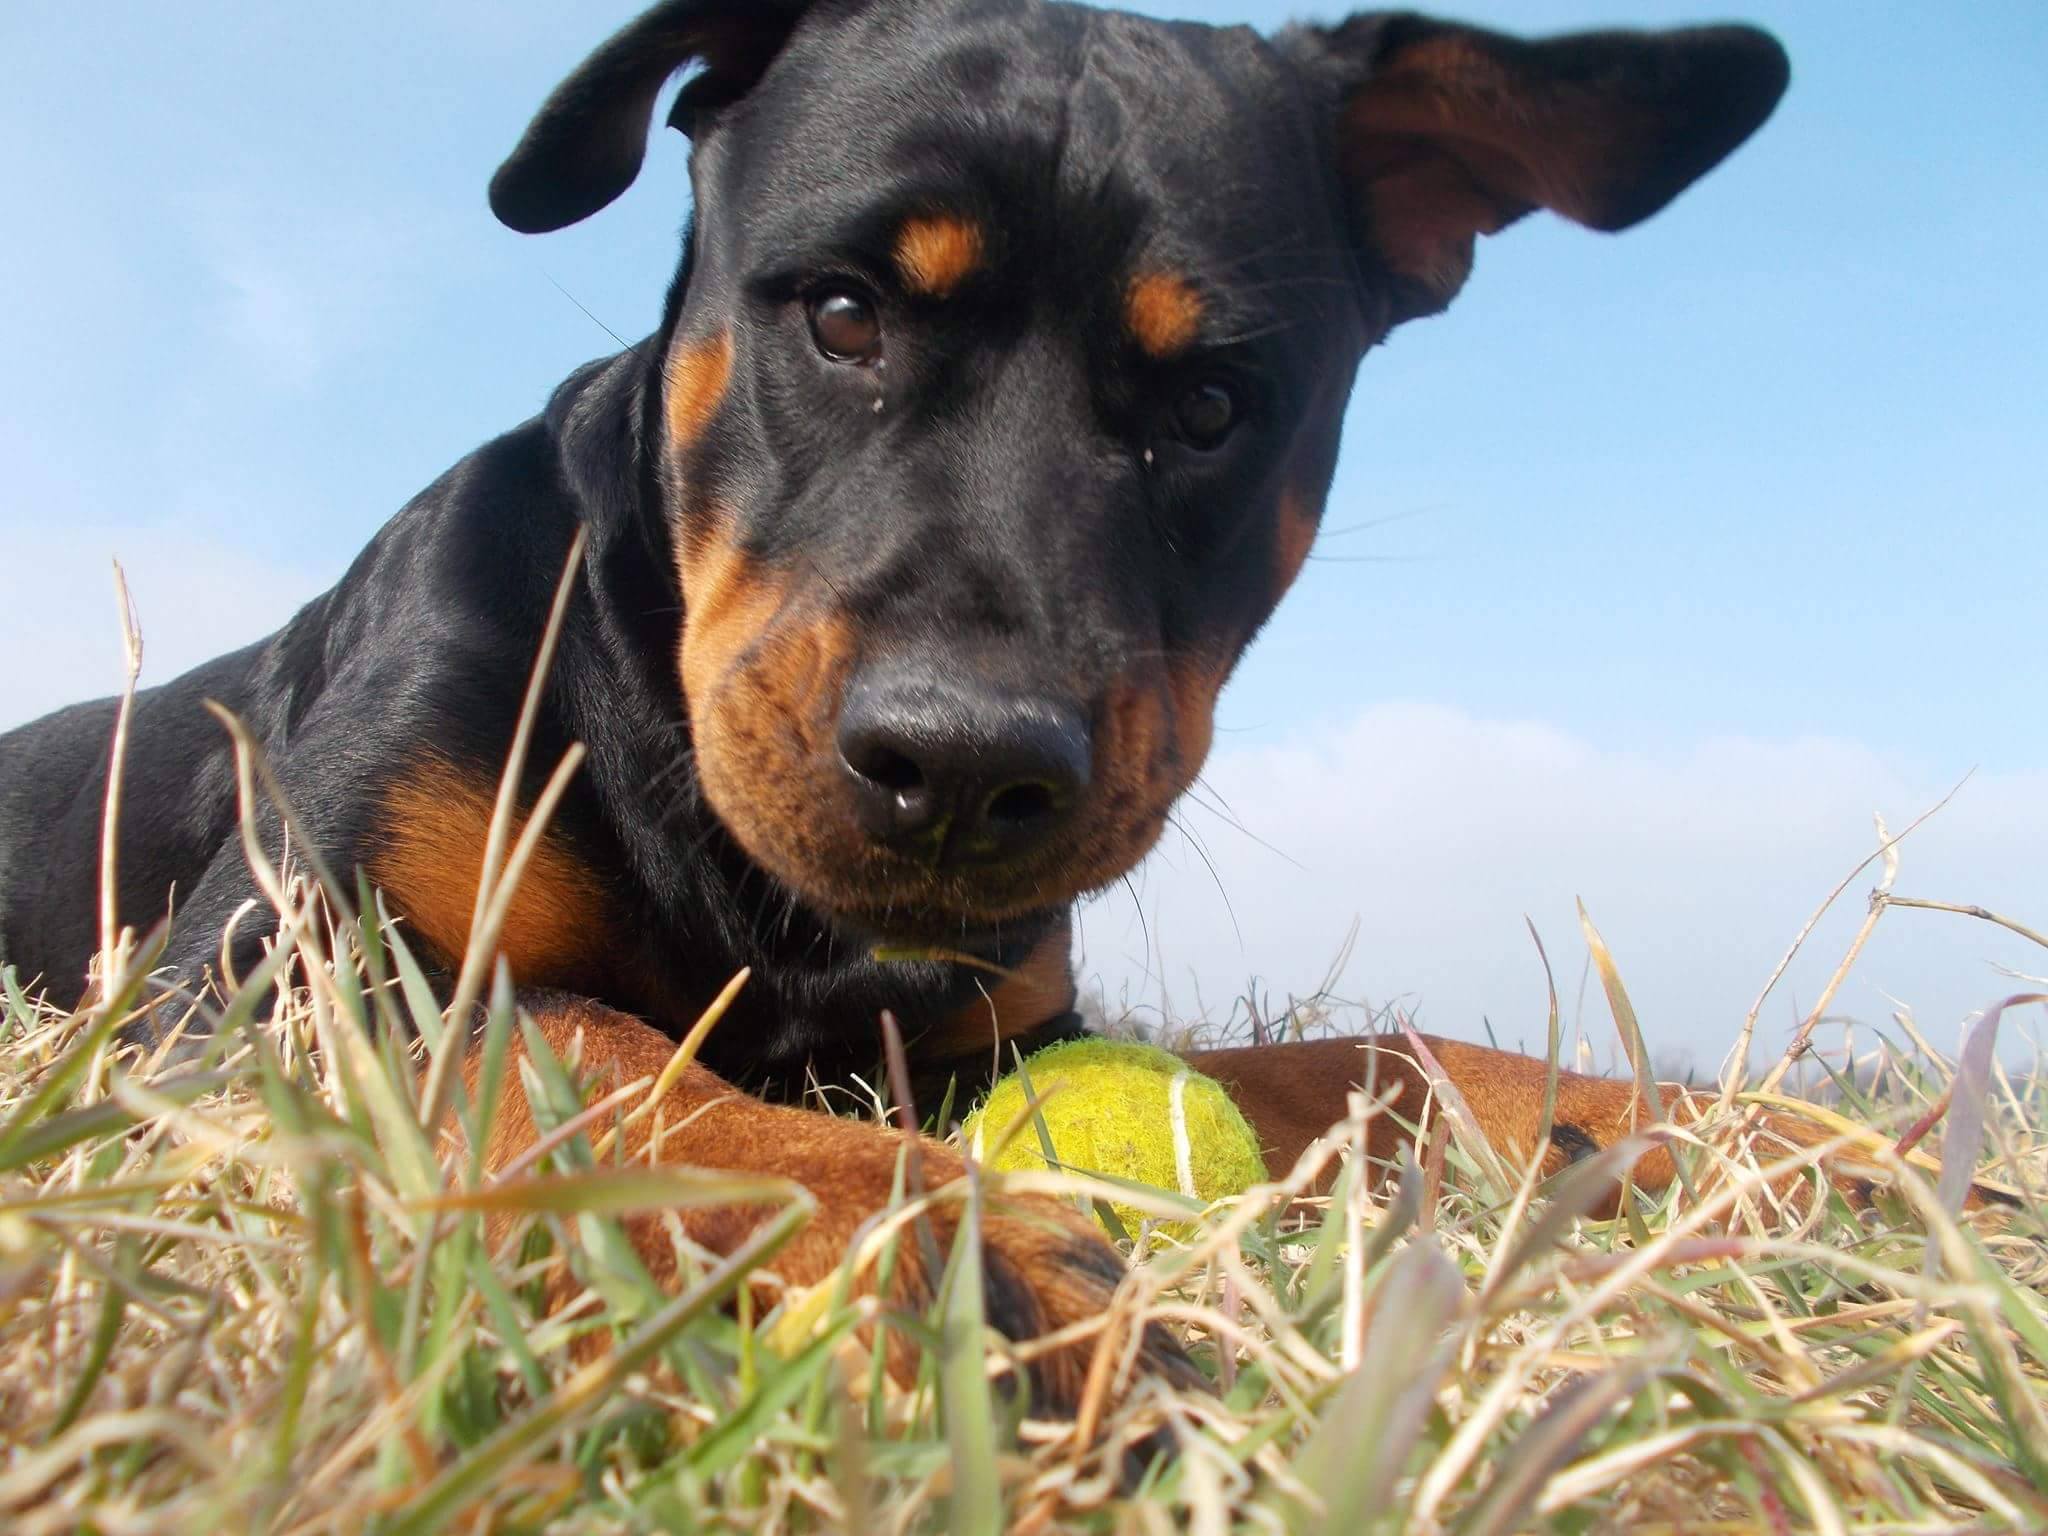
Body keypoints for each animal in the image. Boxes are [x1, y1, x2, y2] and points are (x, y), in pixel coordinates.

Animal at [0, 0, 1794, 1417]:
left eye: (1217, 405)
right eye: (842, 311)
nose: (961, 771)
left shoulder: (997, 1033)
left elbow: (1371, 1057)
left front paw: (1713, 1128)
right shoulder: (259, 976)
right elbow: (579, 1042)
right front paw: (952, 1243)